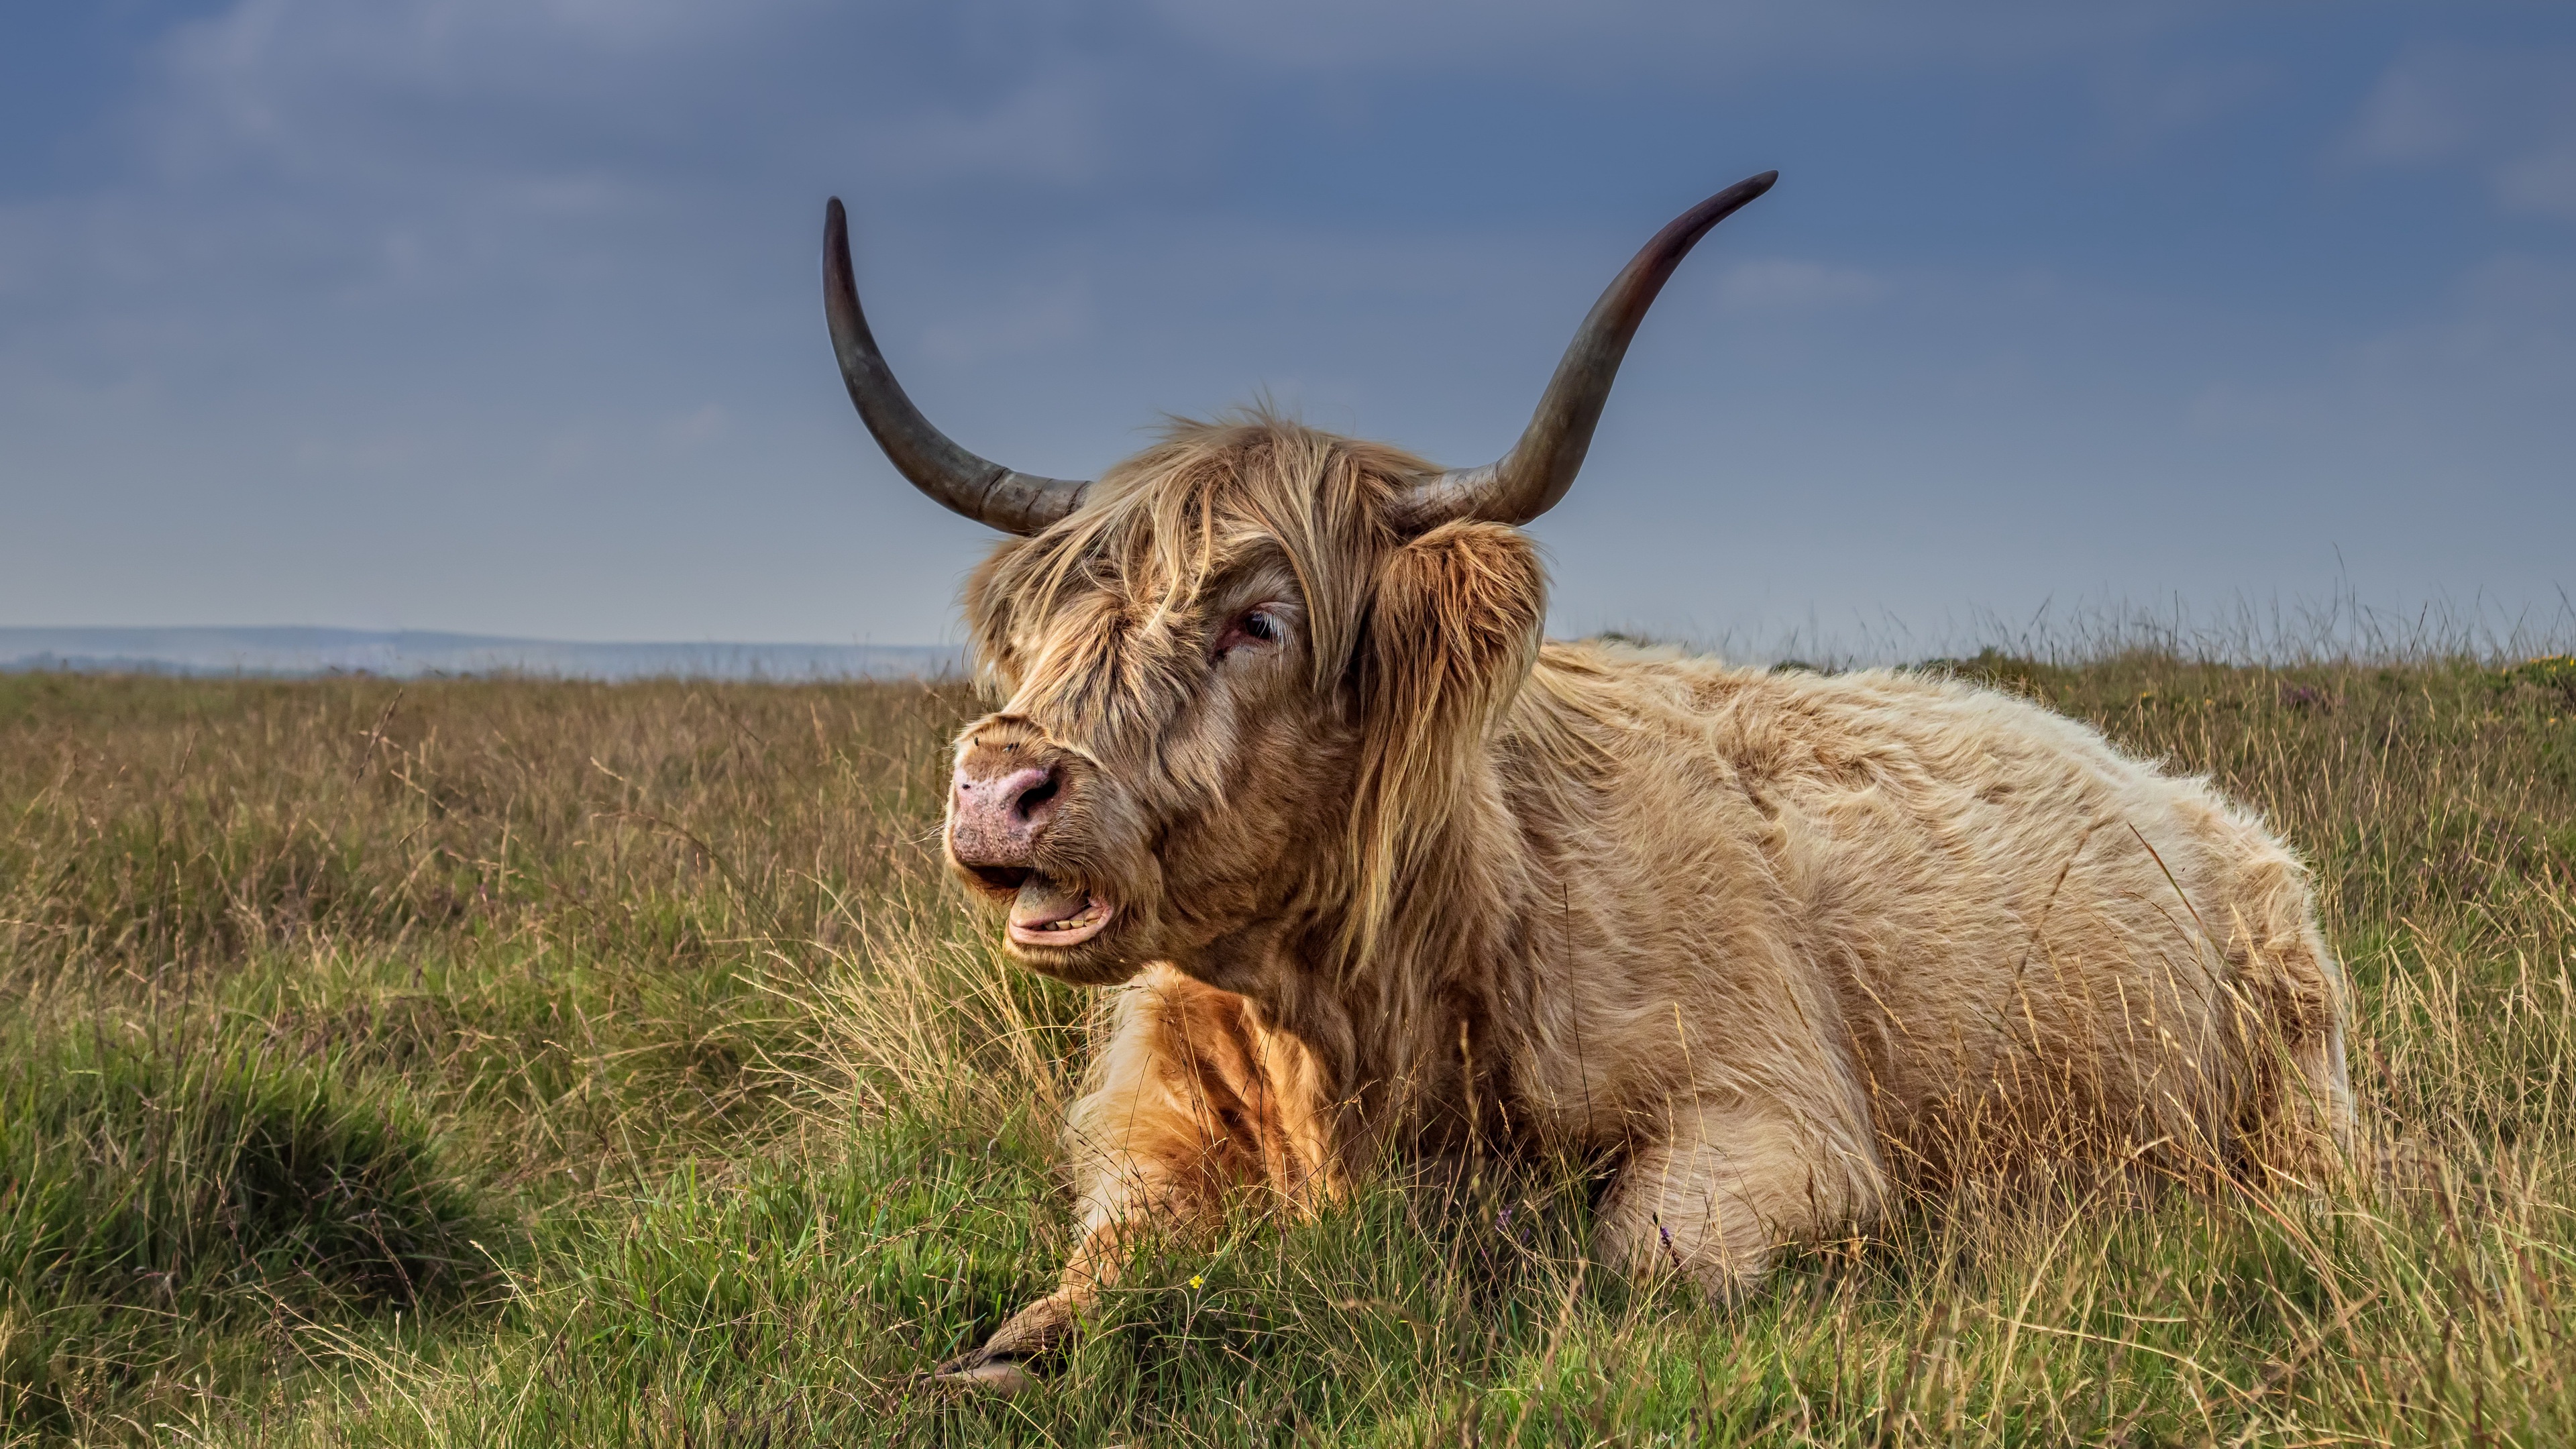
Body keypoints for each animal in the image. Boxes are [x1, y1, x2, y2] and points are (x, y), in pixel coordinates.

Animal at [820, 173, 2355, 1389]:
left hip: (2303, 1104)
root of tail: (2208, 812)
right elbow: (1095, 1268)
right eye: (1047, 620)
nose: (1001, 783)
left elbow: (1638, 1265)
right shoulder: (1142, 1139)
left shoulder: (1784, 1127)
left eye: (1260, 622)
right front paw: (998, 1357)